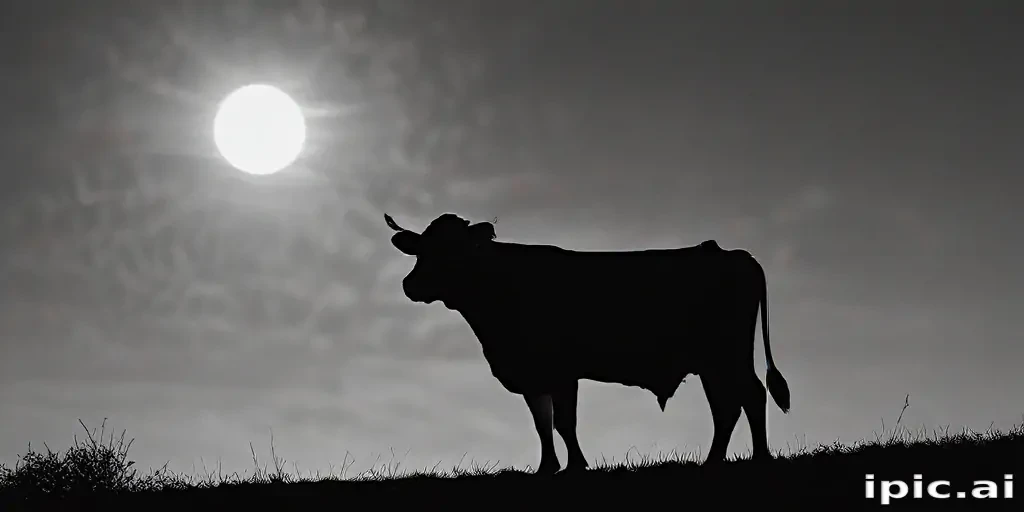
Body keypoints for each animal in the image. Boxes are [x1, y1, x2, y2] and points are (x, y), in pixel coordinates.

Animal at [384, 212, 791, 474]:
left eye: (453, 250)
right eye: (421, 249)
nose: (409, 285)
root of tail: (730, 252)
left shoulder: (562, 372)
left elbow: (565, 423)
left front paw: (576, 466)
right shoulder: (533, 374)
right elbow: (542, 423)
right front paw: (547, 469)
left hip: (728, 355)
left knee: (751, 395)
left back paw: (760, 458)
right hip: (712, 363)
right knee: (727, 407)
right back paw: (712, 462)